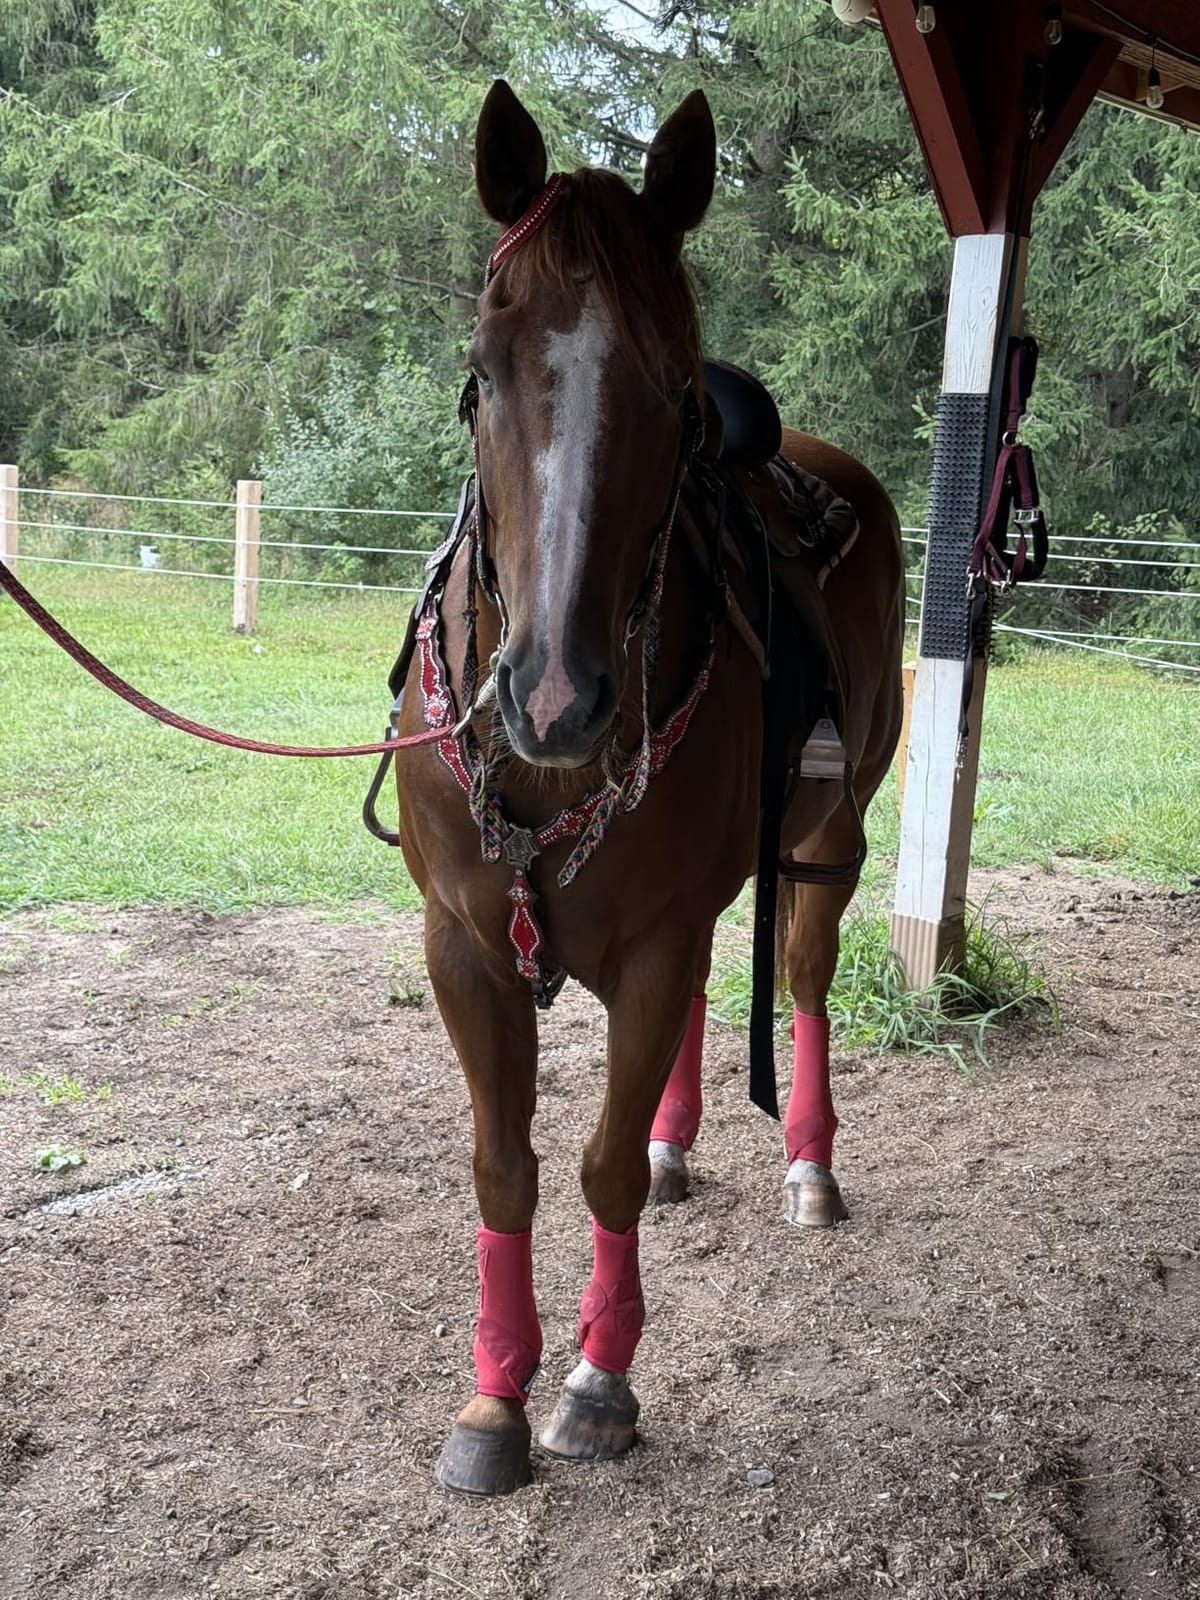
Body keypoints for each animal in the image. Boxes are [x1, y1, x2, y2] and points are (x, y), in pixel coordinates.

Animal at [390, 80, 904, 1496]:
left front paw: (597, 1381)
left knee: (799, 973)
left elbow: (602, 1166)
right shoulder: (464, 945)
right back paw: (688, 1139)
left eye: (676, 394)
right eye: (481, 375)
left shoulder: (660, 932)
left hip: (836, 834)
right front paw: (493, 1399)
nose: (555, 698)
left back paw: (808, 1166)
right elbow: (503, 1167)